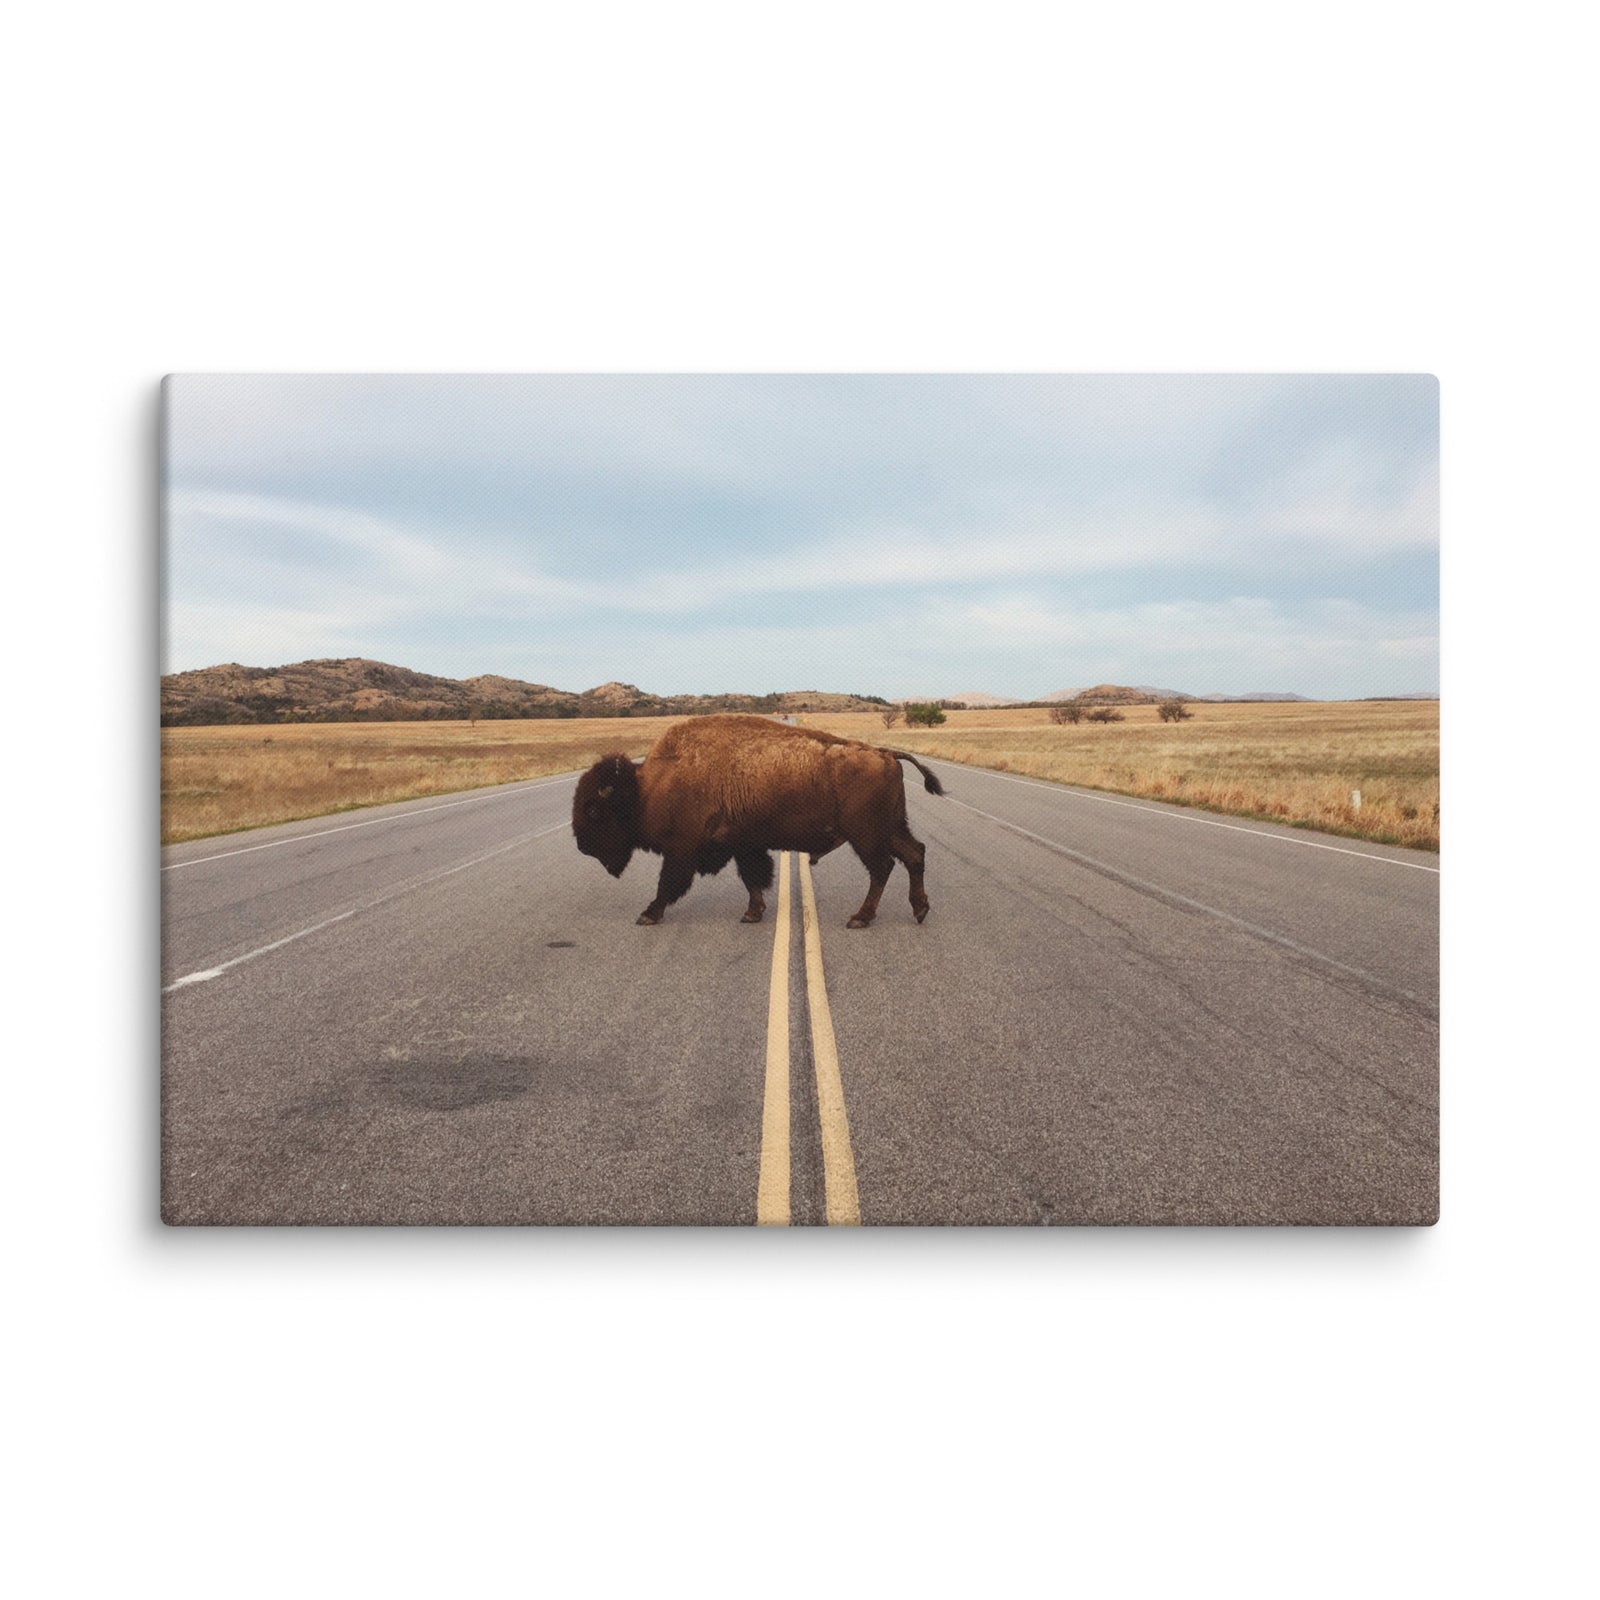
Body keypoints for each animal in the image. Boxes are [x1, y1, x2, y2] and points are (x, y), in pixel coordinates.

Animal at [571, 714, 944, 928]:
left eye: (593, 811)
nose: (582, 846)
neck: (648, 787)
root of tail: (885, 753)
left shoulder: (681, 850)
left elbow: (668, 884)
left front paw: (648, 914)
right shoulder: (742, 845)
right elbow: (752, 878)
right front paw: (753, 913)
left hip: (866, 835)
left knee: (882, 867)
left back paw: (860, 918)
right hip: (890, 828)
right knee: (914, 854)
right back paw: (920, 910)